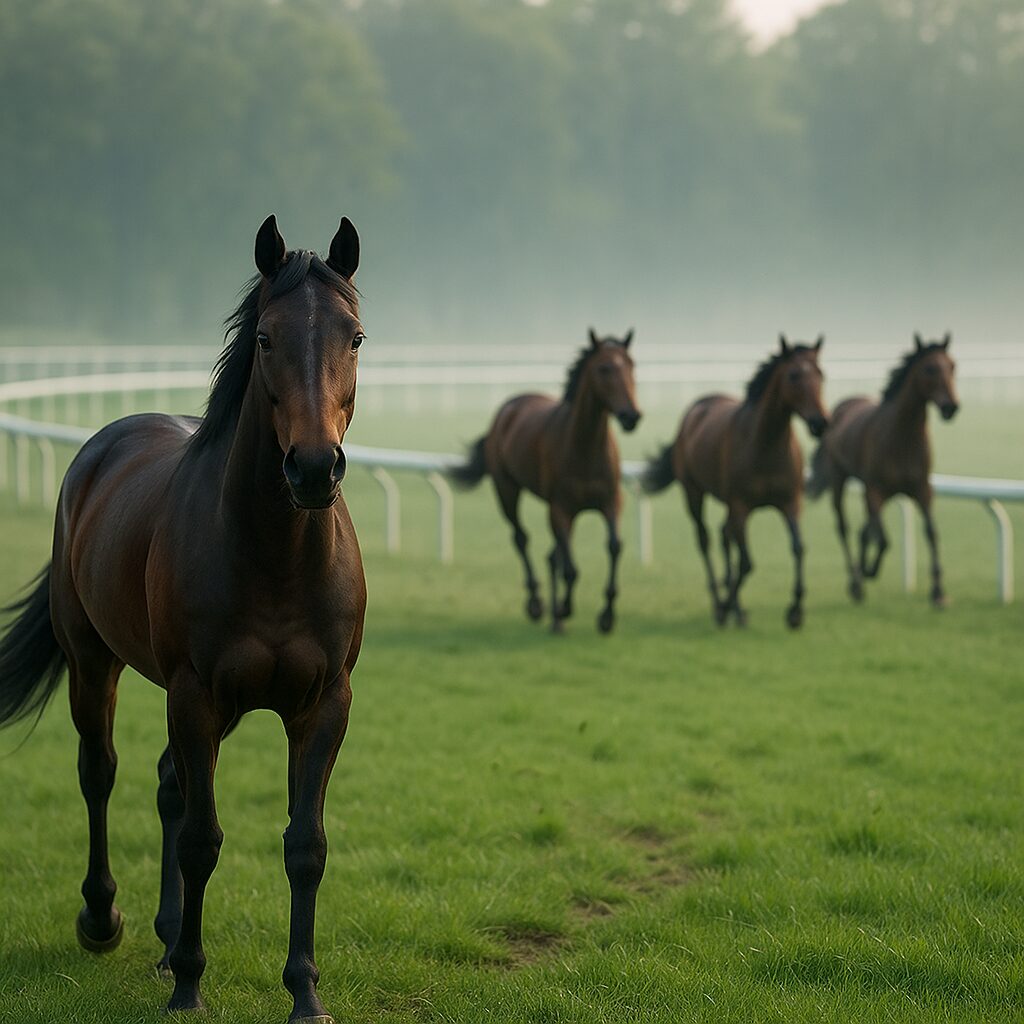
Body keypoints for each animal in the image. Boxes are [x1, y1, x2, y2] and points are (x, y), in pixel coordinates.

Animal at [0, 215, 366, 1023]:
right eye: (265, 338)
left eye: (355, 336)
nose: (313, 467)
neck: (273, 555)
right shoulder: (195, 692)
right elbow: (202, 838)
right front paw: (193, 985)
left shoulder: (322, 704)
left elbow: (306, 845)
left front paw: (305, 992)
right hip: (95, 664)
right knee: (99, 771)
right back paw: (103, 920)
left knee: (169, 781)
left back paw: (168, 938)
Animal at [451, 329, 641, 634]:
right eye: (604, 368)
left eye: (632, 365)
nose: (631, 415)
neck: (585, 449)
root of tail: (510, 406)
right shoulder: (560, 508)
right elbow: (570, 569)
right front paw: (563, 608)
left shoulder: (610, 502)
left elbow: (613, 546)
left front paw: (606, 616)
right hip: (506, 489)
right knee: (521, 537)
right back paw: (538, 604)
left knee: (553, 554)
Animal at [643, 335, 828, 630]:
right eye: (794, 375)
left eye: (821, 374)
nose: (820, 422)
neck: (765, 445)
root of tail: (695, 408)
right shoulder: (741, 506)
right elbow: (747, 563)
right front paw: (727, 608)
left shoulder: (790, 503)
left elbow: (798, 548)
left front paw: (795, 611)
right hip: (694, 492)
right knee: (705, 539)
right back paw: (722, 603)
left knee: (723, 535)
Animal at [807, 333, 959, 607]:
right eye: (930, 368)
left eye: (952, 366)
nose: (950, 406)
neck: (902, 438)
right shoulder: (876, 489)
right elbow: (884, 539)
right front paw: (869, 571)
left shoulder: (922, 488)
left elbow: (931, 532)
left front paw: (938, 592)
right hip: (840, 478)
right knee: (844, 527)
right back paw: (856, 581)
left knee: (863, 530)